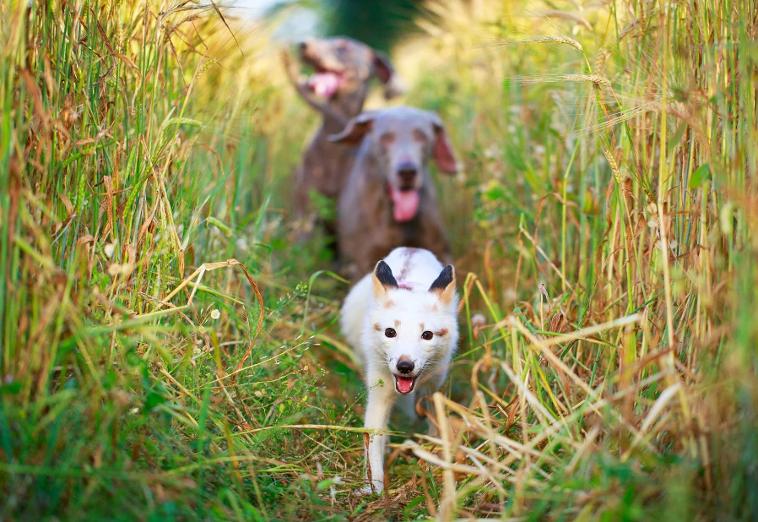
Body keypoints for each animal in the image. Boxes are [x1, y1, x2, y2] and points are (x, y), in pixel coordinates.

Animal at [342, 247, 460, 492]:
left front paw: (432, 459)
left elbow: (434, 425)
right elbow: (372, 442)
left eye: (427, 335)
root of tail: (412, 249)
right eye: (390, 332)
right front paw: (373, 488)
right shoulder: (379, 393)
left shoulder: (432, 389)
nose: (405, 366)